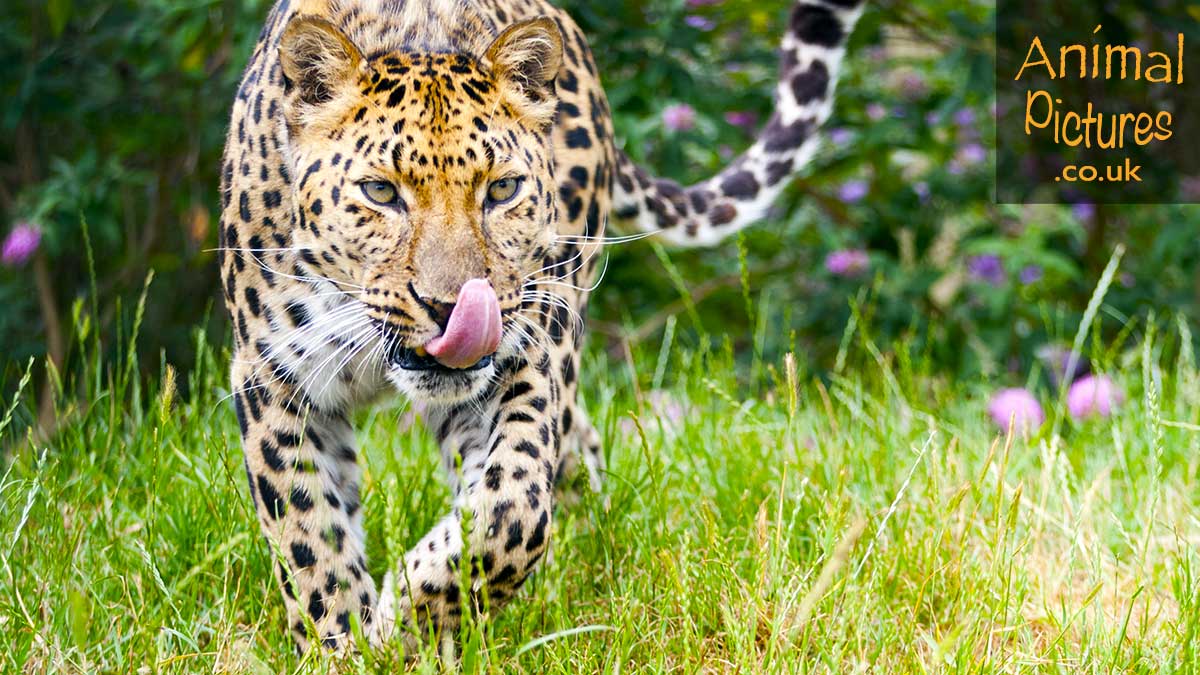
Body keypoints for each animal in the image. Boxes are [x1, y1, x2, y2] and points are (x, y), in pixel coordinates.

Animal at [218, 0, 864, 653]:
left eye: (501, 189)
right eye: (379, 191)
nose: (450, 308)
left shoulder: (525, 358)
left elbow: (513, 507)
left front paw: (413, 613)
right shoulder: (274, 378)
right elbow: (309, 533)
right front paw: (343, 645)